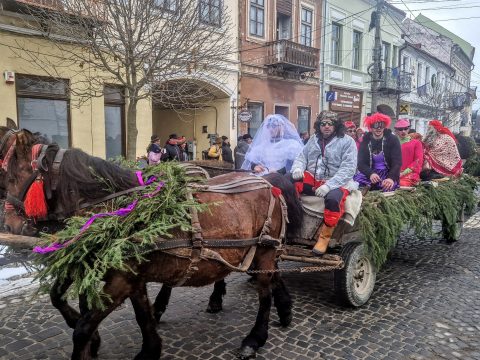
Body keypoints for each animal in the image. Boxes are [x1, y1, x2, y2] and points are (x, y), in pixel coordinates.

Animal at [0, 128, 300, 358]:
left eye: (12, 178)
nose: (9, 226)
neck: (116, 213)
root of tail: (267, 180)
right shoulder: (130, 278)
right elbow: (135, 314)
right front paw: (149, 348)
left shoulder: (120, 281)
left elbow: (83, 329)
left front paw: (90, 339)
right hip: (246, 251)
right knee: (266, 277)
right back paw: (283, 308)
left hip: (264, 250)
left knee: (264, 292)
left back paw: (255, 337)